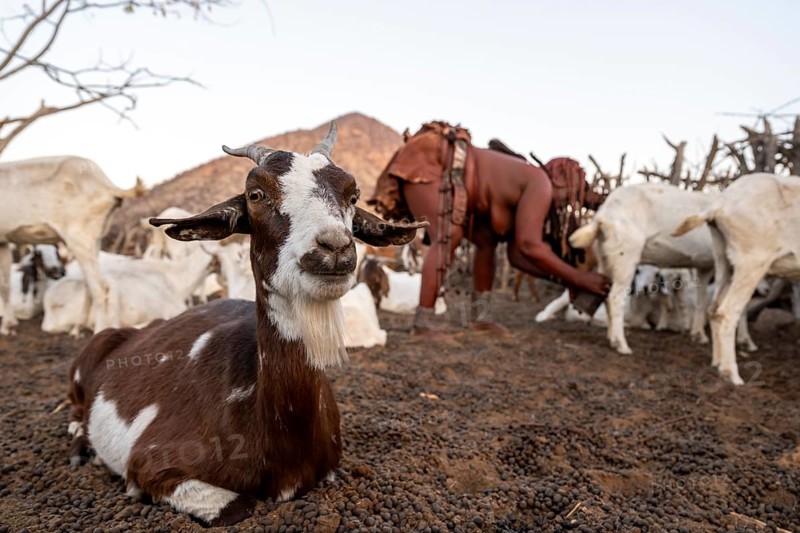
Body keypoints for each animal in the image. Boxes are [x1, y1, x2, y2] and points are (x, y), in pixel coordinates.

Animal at [0, 157, 143, 334]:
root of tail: (106, 185)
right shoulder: (2, 241)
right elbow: (5, 284)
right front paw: (8, 325)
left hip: (78, 238)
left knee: (100, 289)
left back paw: (99, 332)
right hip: (94, 240)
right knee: (90, 285)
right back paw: (78, 328)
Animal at [673, 173, 800, 385]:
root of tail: (721, 204)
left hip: (723, 258)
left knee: (713, 309)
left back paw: (717, 363)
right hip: (751, 261)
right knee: (727, 312)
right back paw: (731, 374)